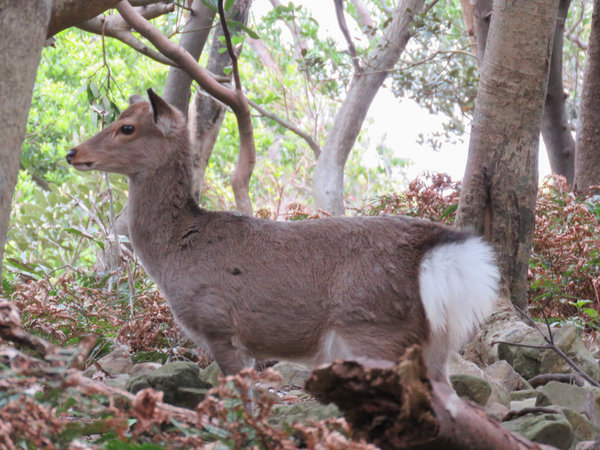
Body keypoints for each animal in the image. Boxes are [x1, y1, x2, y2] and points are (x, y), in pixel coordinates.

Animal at [65, 89, 500, 384]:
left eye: (126, 128)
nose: (73, 153)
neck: (176, 251)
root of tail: (442, 255)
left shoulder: (219, 325)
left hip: (374, 328)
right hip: (432, 345)